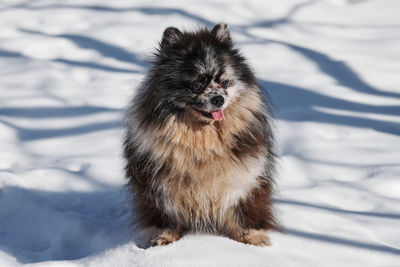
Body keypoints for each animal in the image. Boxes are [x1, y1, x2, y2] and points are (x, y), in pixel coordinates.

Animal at [123, 24, 280, 248]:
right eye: (196, 86)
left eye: (224, 82)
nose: (218, 98)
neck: (204, 141)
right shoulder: (158, 185)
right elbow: (166, 215)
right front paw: (164, 237)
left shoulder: (245, 179)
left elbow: (242, 211)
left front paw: (251, 238)